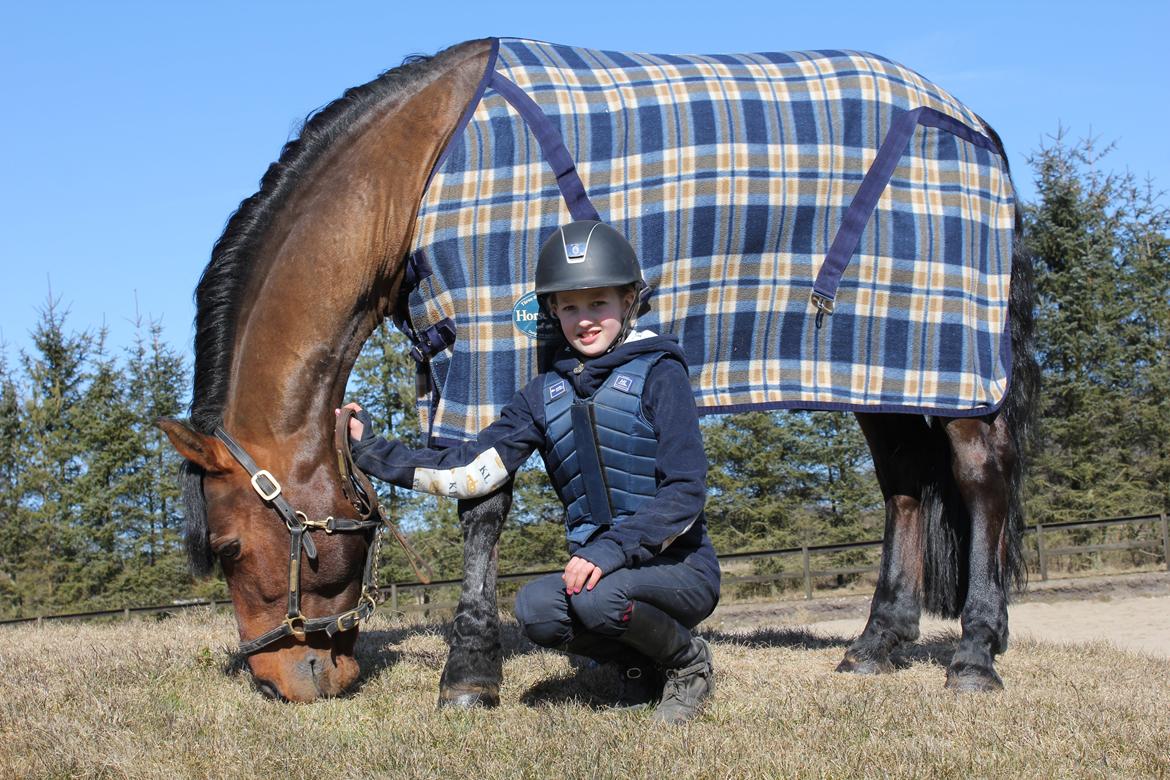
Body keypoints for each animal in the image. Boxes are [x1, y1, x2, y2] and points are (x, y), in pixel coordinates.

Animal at [160, 37, 1036, 704]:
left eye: (230, 549)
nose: (284, 680)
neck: (413, 174)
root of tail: (973, 122)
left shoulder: (491, 336)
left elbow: (482, 503)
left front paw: (469, 673)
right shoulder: (446, 356)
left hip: (959, 366)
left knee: (980, 482)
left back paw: (974, 656)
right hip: (880, 372)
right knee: (905, 487)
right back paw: (876, 645)